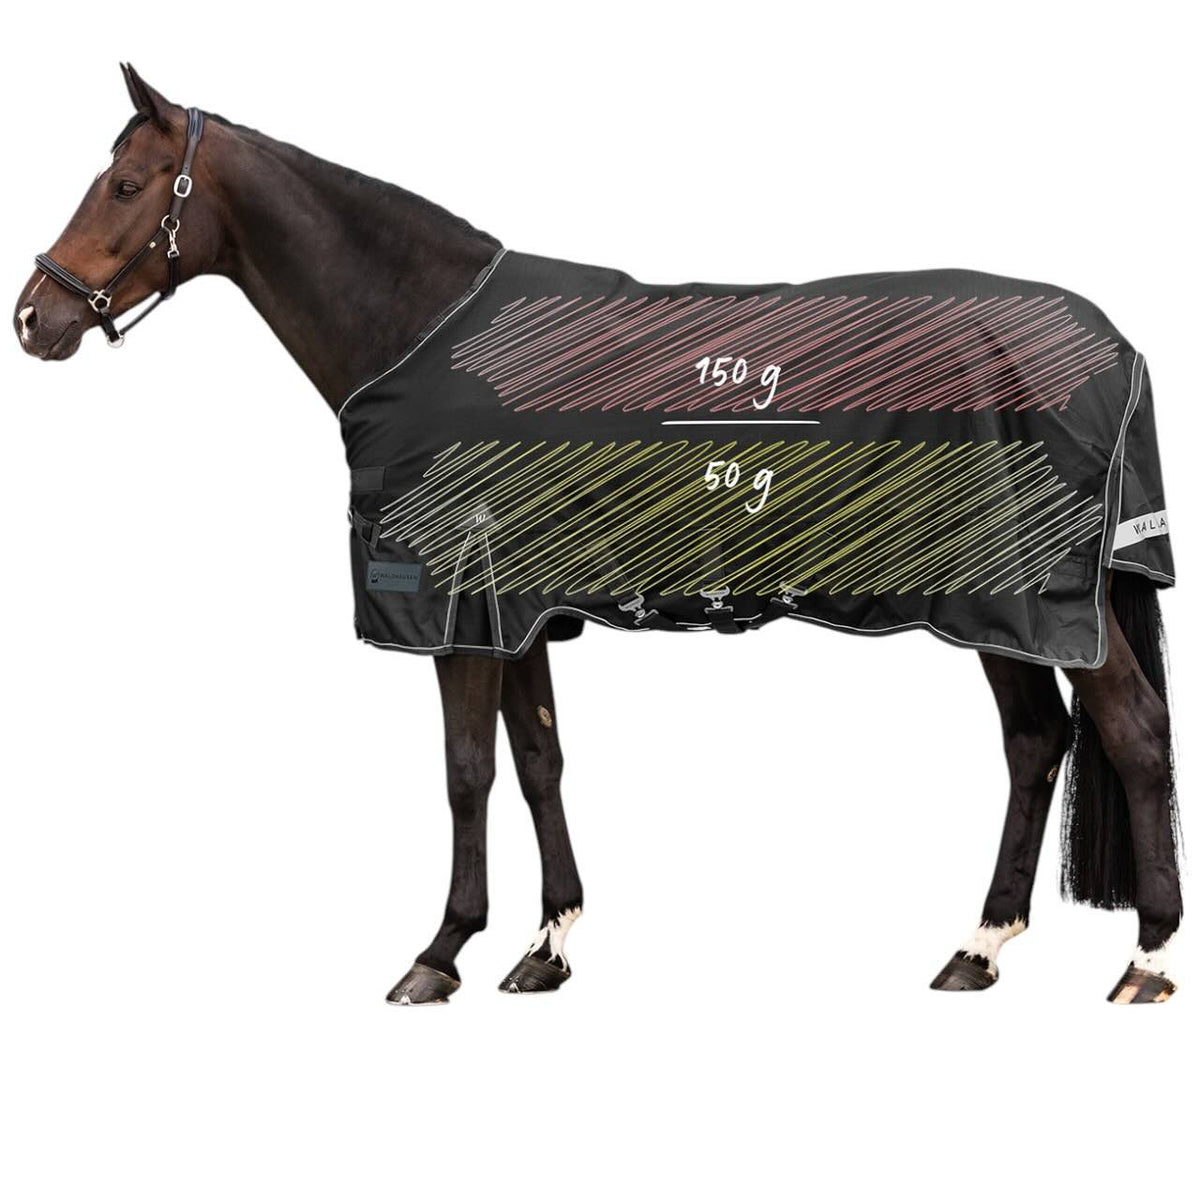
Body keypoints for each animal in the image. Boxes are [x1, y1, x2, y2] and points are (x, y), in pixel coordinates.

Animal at [13, 65, 1182, 1005]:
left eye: (125, 186)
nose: (34, 317)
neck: (423, 329)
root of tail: (1115, 348)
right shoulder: (521, 611)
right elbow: (539, 761)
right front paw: (547, 947)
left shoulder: (457, 609)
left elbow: (466, 773)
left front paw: (439, 954)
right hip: (999, 608)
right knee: (1034, 743)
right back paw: (978, 949)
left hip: (1036, 599)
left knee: (1130, 729)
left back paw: (1148, 961)